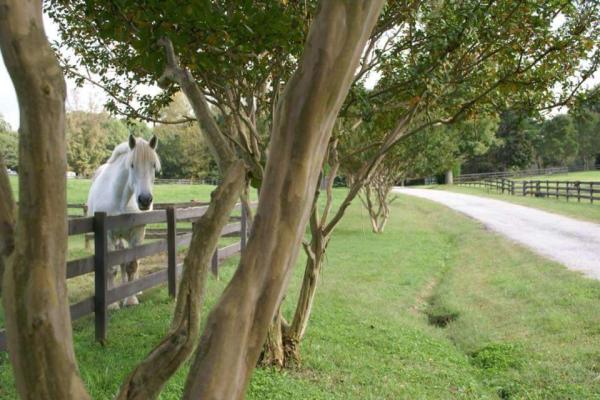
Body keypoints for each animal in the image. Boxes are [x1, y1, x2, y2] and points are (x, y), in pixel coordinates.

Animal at [87, 136, 161, 308]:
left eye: (153, 165)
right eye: (132, 165)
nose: (145, 200)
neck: (121, 199)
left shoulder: (137, 231)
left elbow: (132, 265)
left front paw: (131, 299)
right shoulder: (107, 235)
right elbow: (110, 268)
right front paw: (112, 304)